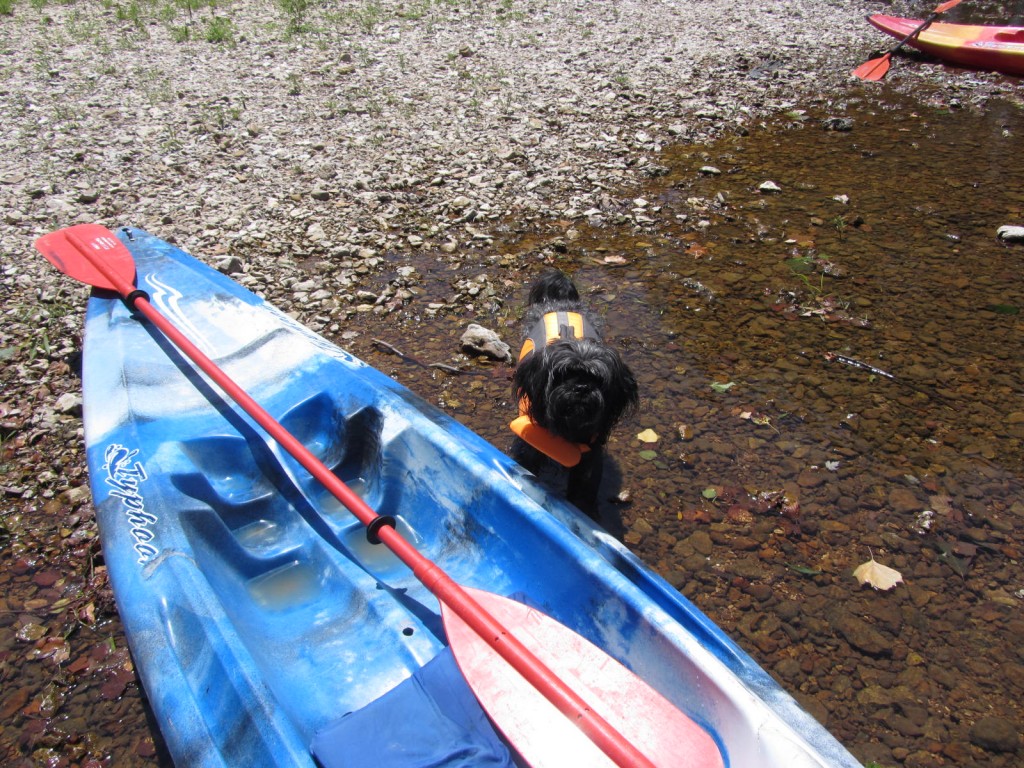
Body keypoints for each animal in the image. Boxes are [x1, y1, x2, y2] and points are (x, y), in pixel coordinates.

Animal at [512, 270, 638, 518]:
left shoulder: (589, 459)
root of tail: (562, 302)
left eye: (597, 380)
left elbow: (584, 491)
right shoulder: (528, 447)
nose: (581, 387)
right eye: (563, 375)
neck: (566, 427)